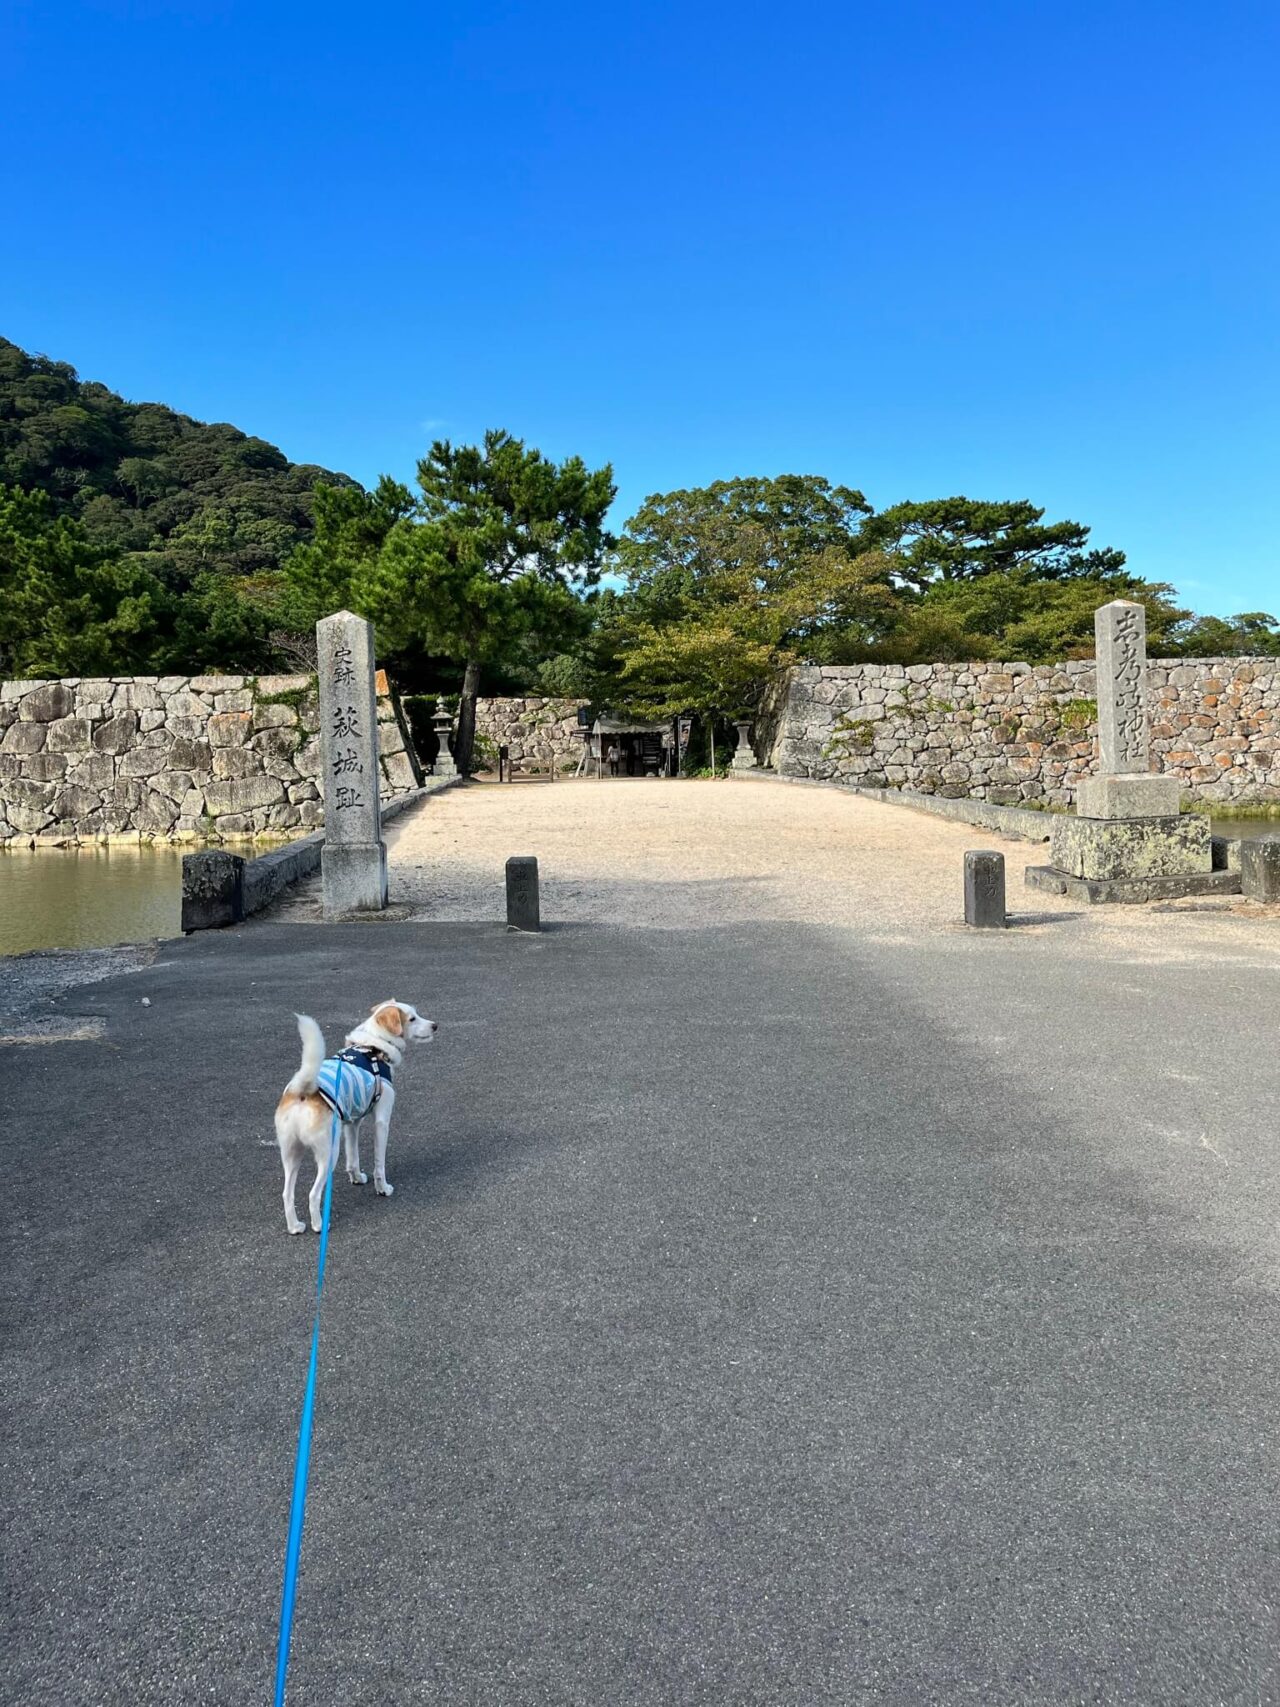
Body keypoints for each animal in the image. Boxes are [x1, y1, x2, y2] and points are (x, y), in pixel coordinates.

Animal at [274, 996, 436, 1235]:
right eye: (412, 1018)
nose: (435, 1026)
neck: (374, 1047)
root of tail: (303, 1090)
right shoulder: (381, 1122)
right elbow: (379, 1164)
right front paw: (383, 1188)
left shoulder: (352, 1122)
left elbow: (353, 1158)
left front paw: (357, 1178)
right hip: (328, 1153)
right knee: (313, 1194)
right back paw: (319, 1225)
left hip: (291, 1154)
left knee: (287, 1194)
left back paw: (295, 1226)